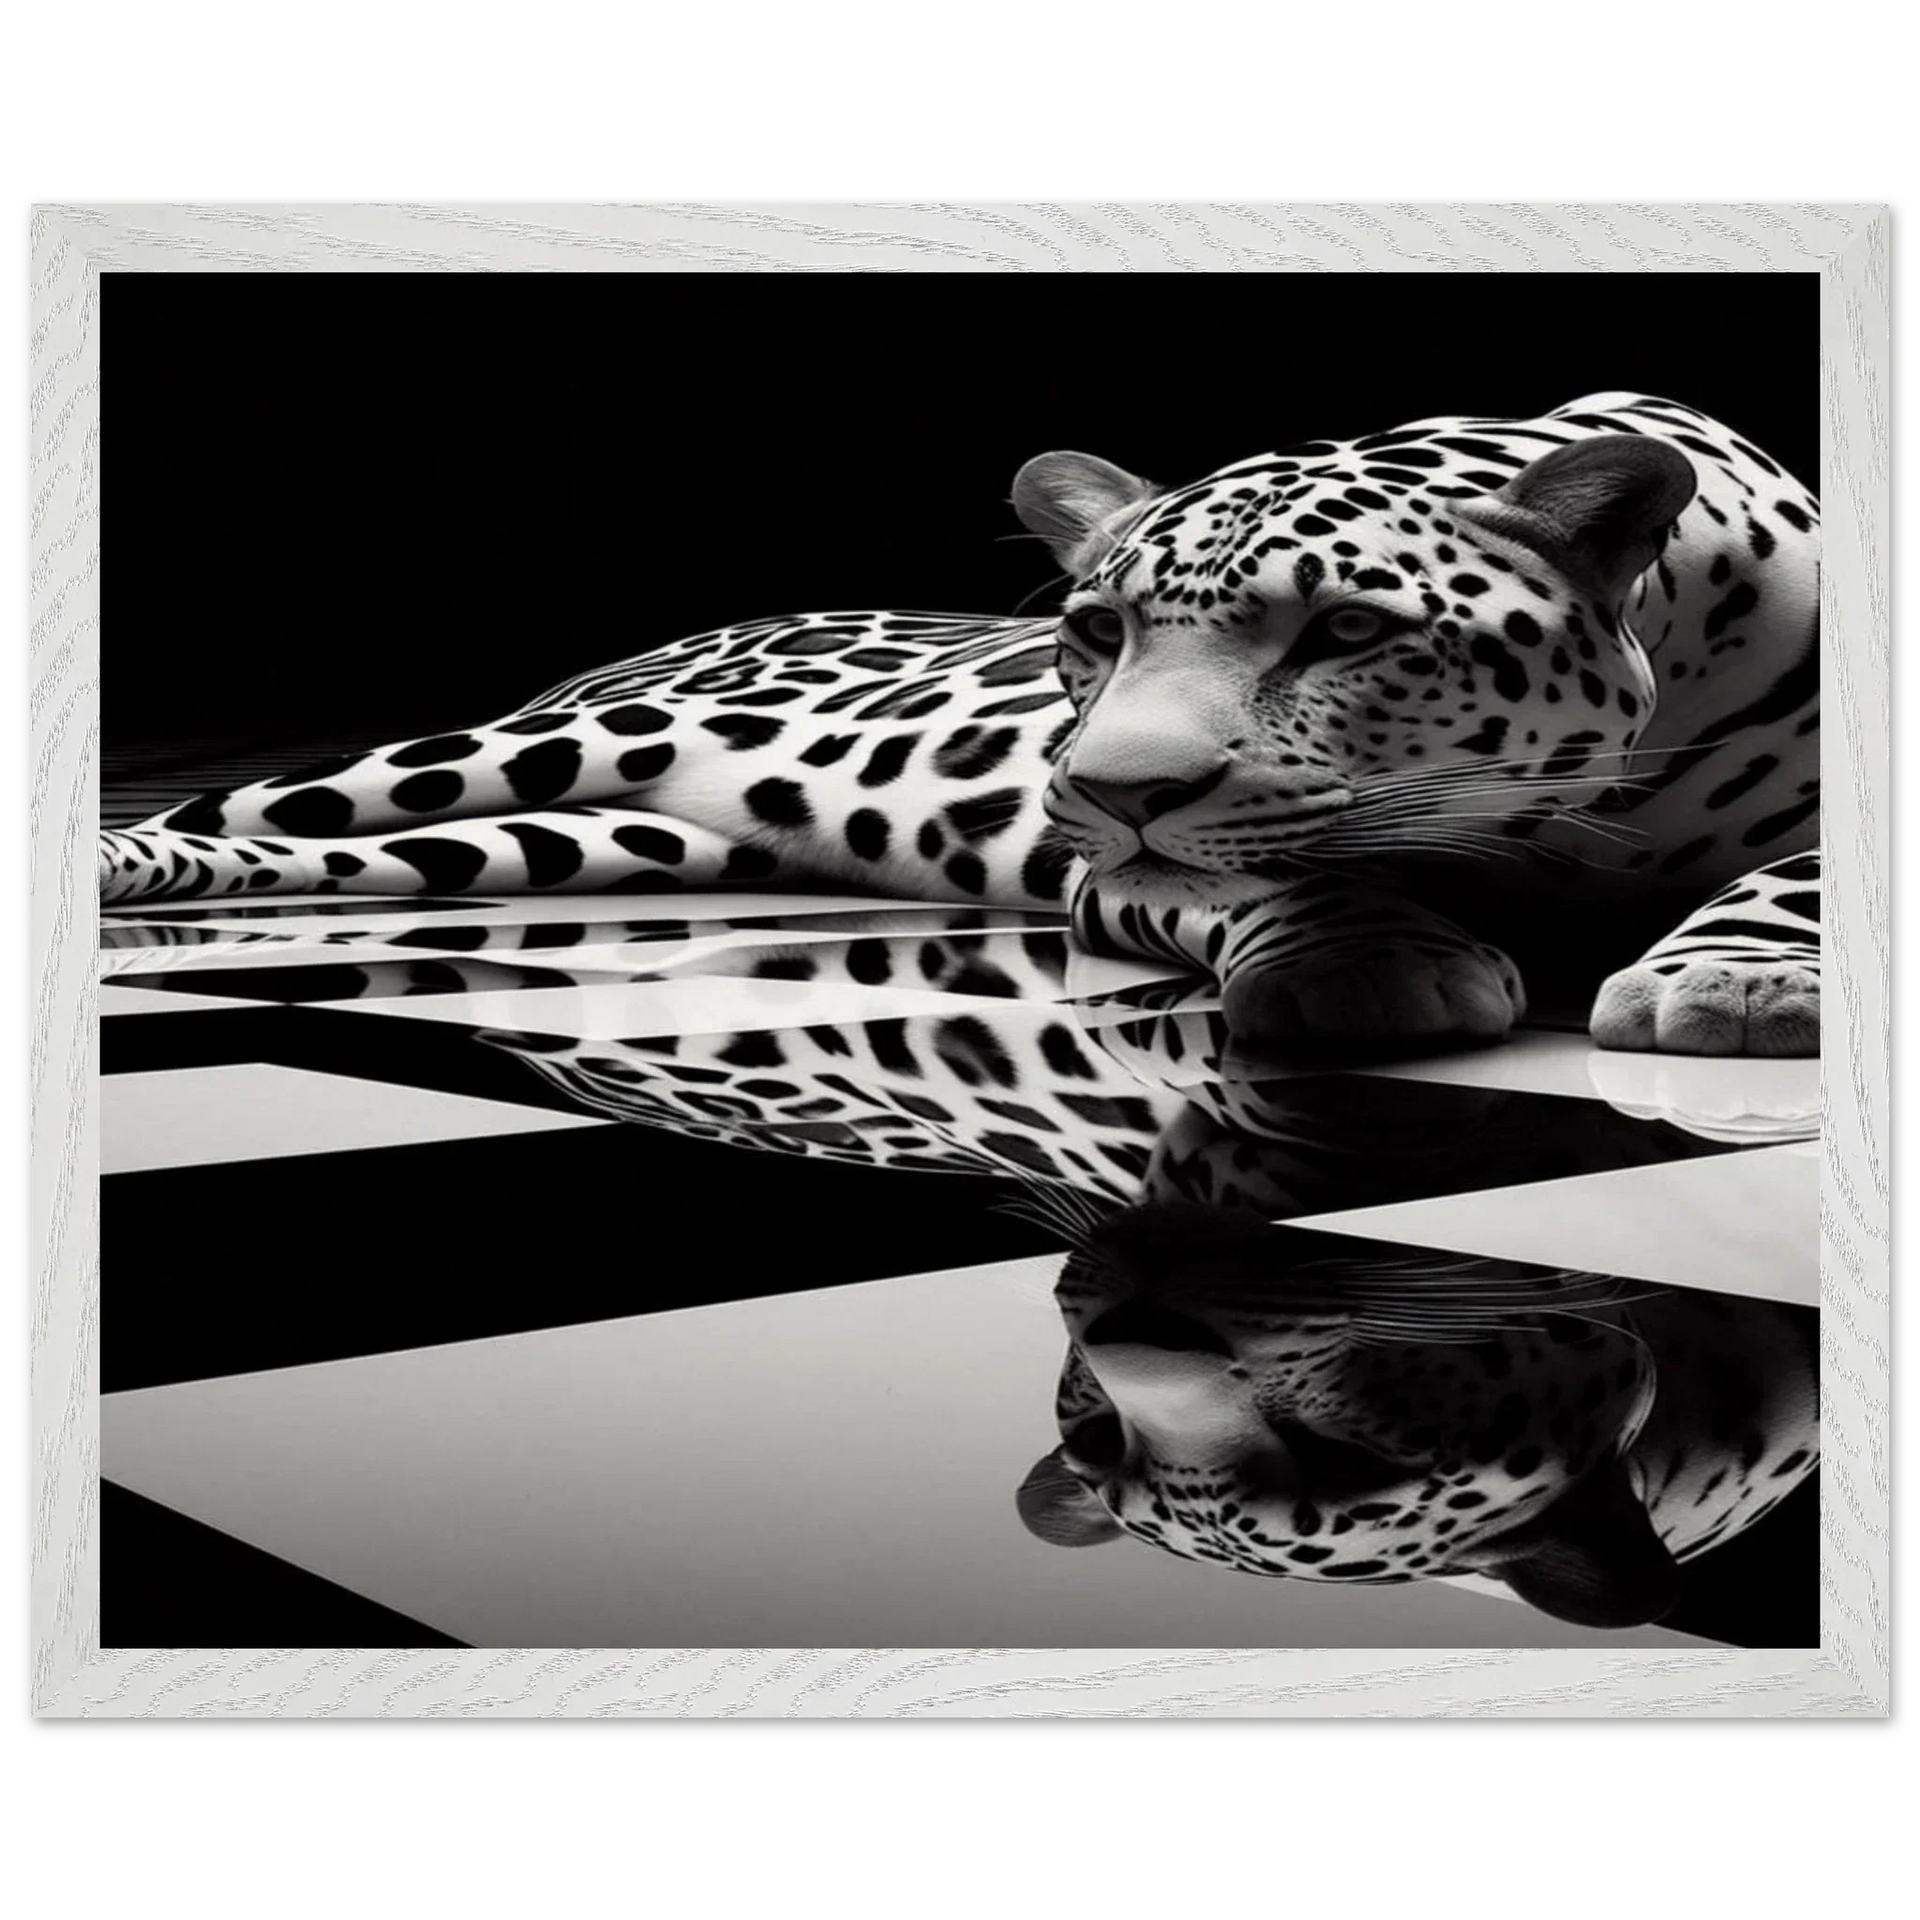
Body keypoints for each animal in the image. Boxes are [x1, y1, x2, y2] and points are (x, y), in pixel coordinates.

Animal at [97, 392, 1821, 1059]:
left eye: (1346, 631)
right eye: (1097, 632)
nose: (1108, 790)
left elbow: (1799, 873)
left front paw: (1735, 980)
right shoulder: (1125, 880)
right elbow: (1281, 875)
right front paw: (1369, 961)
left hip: (576, 839)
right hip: (526, 750)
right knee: (233, 811)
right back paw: (126, 873)